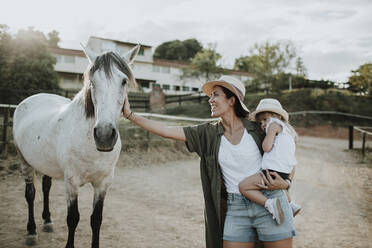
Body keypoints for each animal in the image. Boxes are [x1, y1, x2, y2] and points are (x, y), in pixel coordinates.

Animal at [12, 43, 140, 247]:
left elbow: (96, 219)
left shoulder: (103, 183)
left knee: (46, 187)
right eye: (92, 82)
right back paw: (31, 231)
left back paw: (47, 221)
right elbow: (73, 218)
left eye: (124, 81)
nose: (104, 135)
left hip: (46, 164)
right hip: (24, 161)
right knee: (30, 194)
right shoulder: (71, 182)